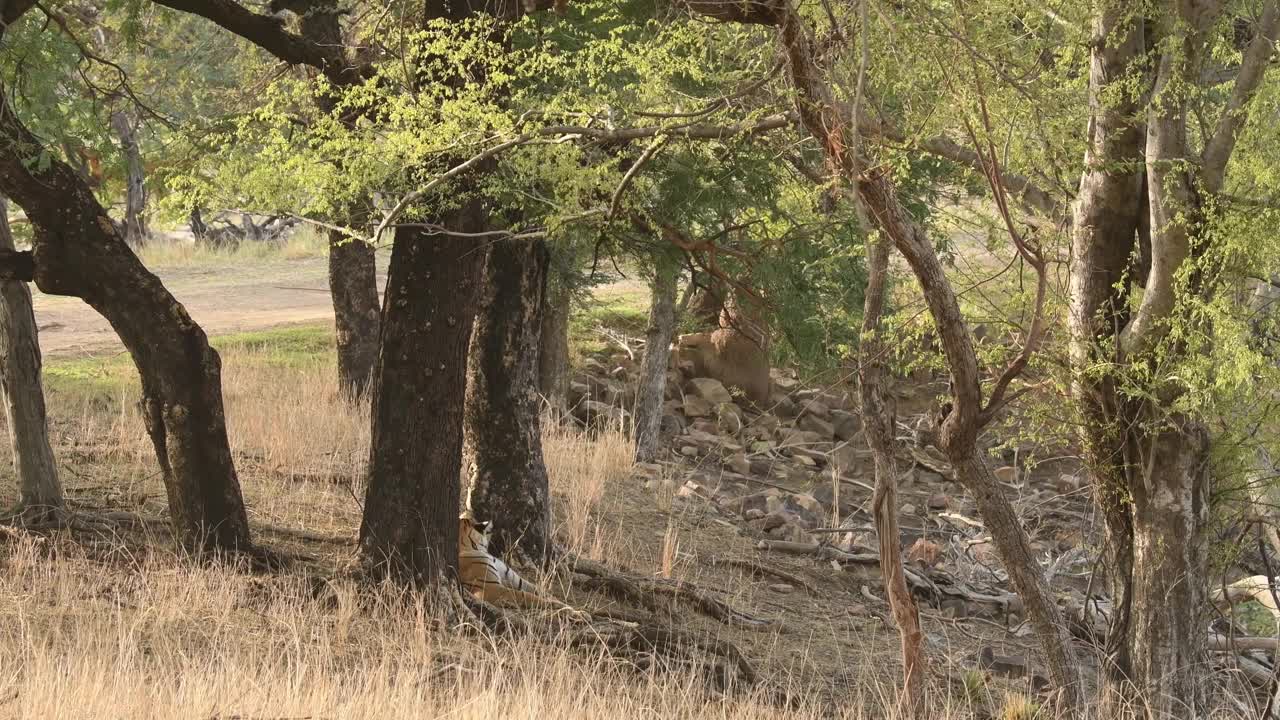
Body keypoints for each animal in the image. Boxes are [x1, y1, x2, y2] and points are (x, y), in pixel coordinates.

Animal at [460, 509, 588, 617]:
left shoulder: (514, 579)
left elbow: (540, 591)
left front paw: (569, 607)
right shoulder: (490, 588)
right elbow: (526, 596)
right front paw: (562, 608)